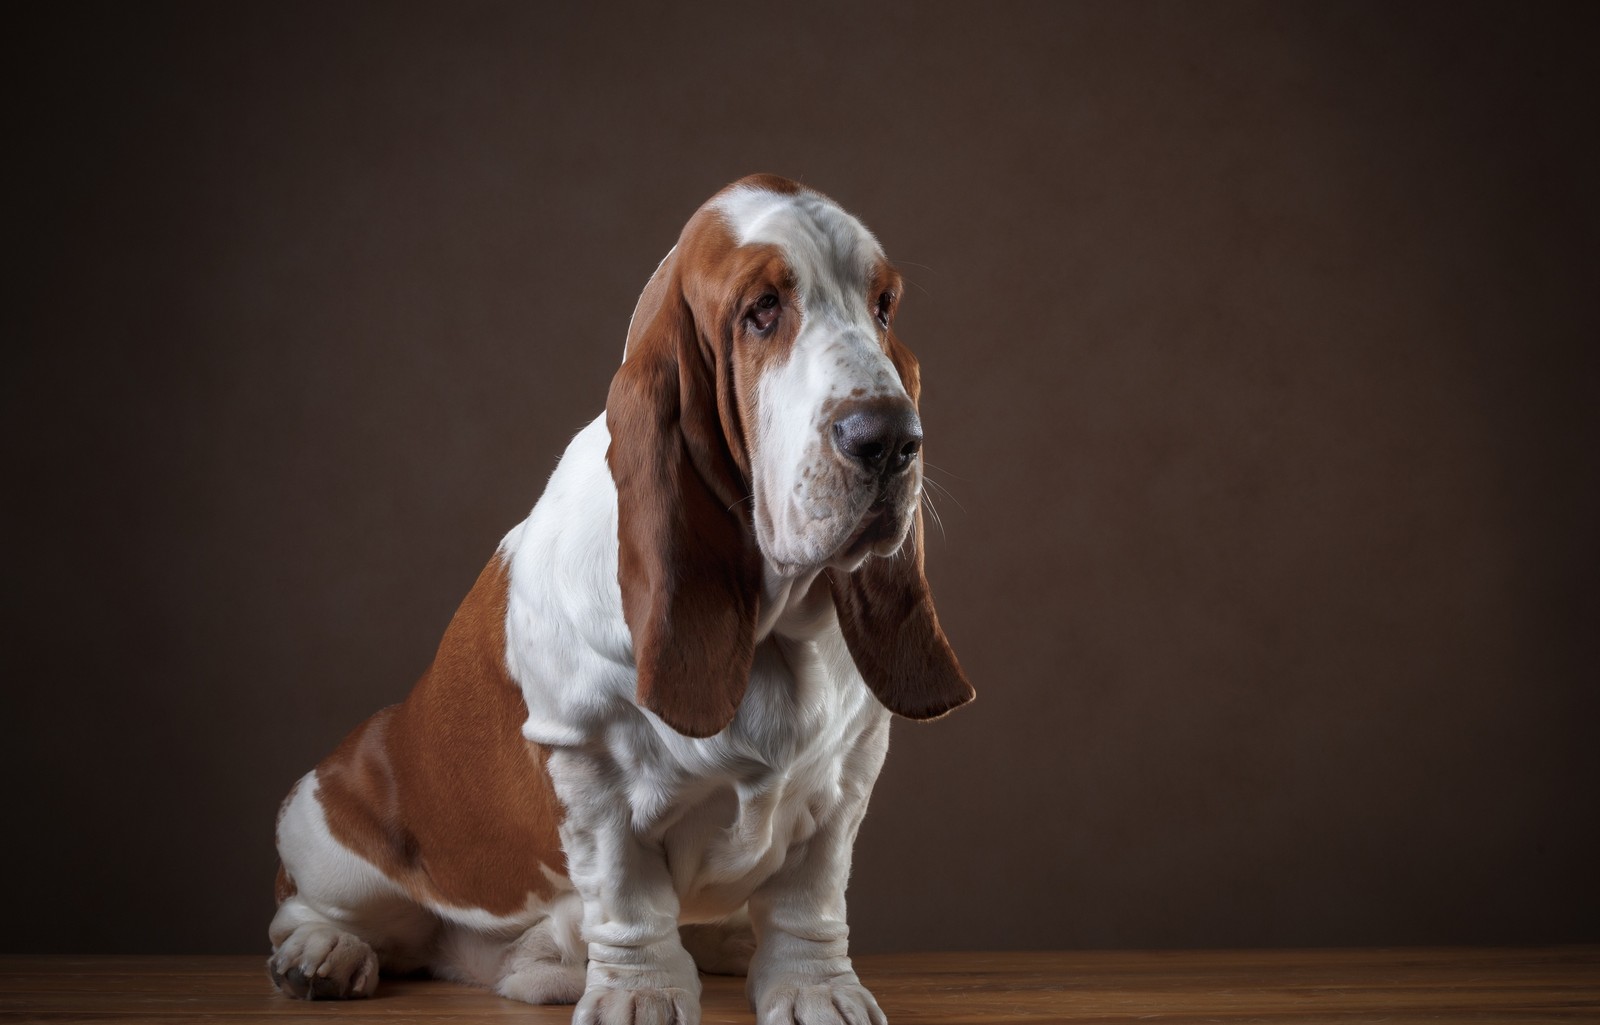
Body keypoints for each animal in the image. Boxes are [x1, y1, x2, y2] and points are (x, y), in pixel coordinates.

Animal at [270, 171, 972, 1017]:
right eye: (761, 309)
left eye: (884, 305)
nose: (892, 438)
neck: (770, 627)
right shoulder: (591, 773)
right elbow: (631, 902)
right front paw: (642, 998)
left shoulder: (849, 776)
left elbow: (810, 899)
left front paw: (816, 990)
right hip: (331, 832)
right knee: (307, 906)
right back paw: (324, 953)